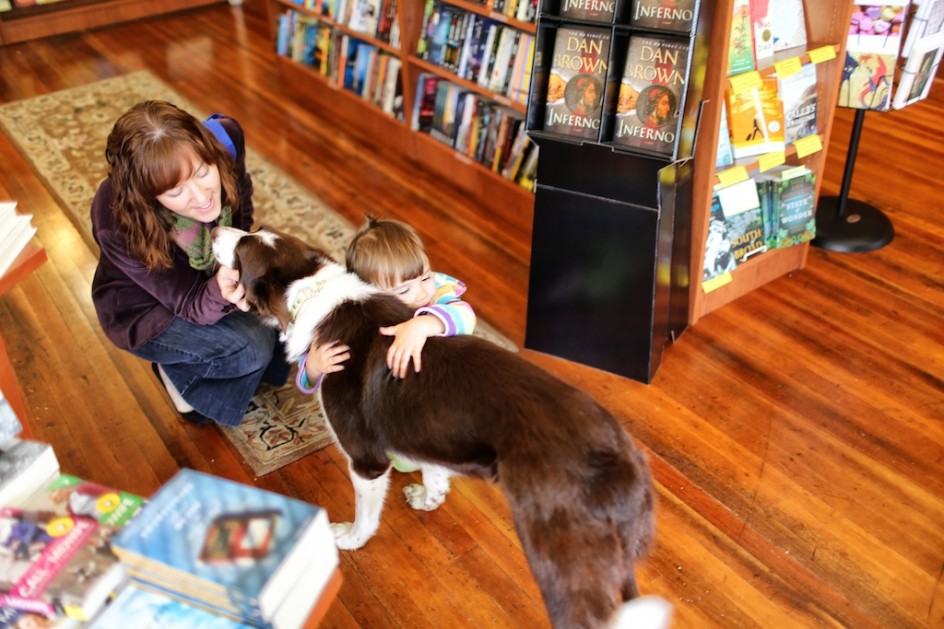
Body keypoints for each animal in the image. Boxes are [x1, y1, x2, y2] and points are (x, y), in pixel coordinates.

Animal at [211, 226, 660, 628]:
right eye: (254, 231)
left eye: (243, 248)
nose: (214, 230)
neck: (311, 293)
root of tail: (620, 454)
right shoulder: (424, 435)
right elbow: (434, 473)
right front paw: (429, 498)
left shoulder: (366, 460)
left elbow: (365, 517)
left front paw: (350, 540)